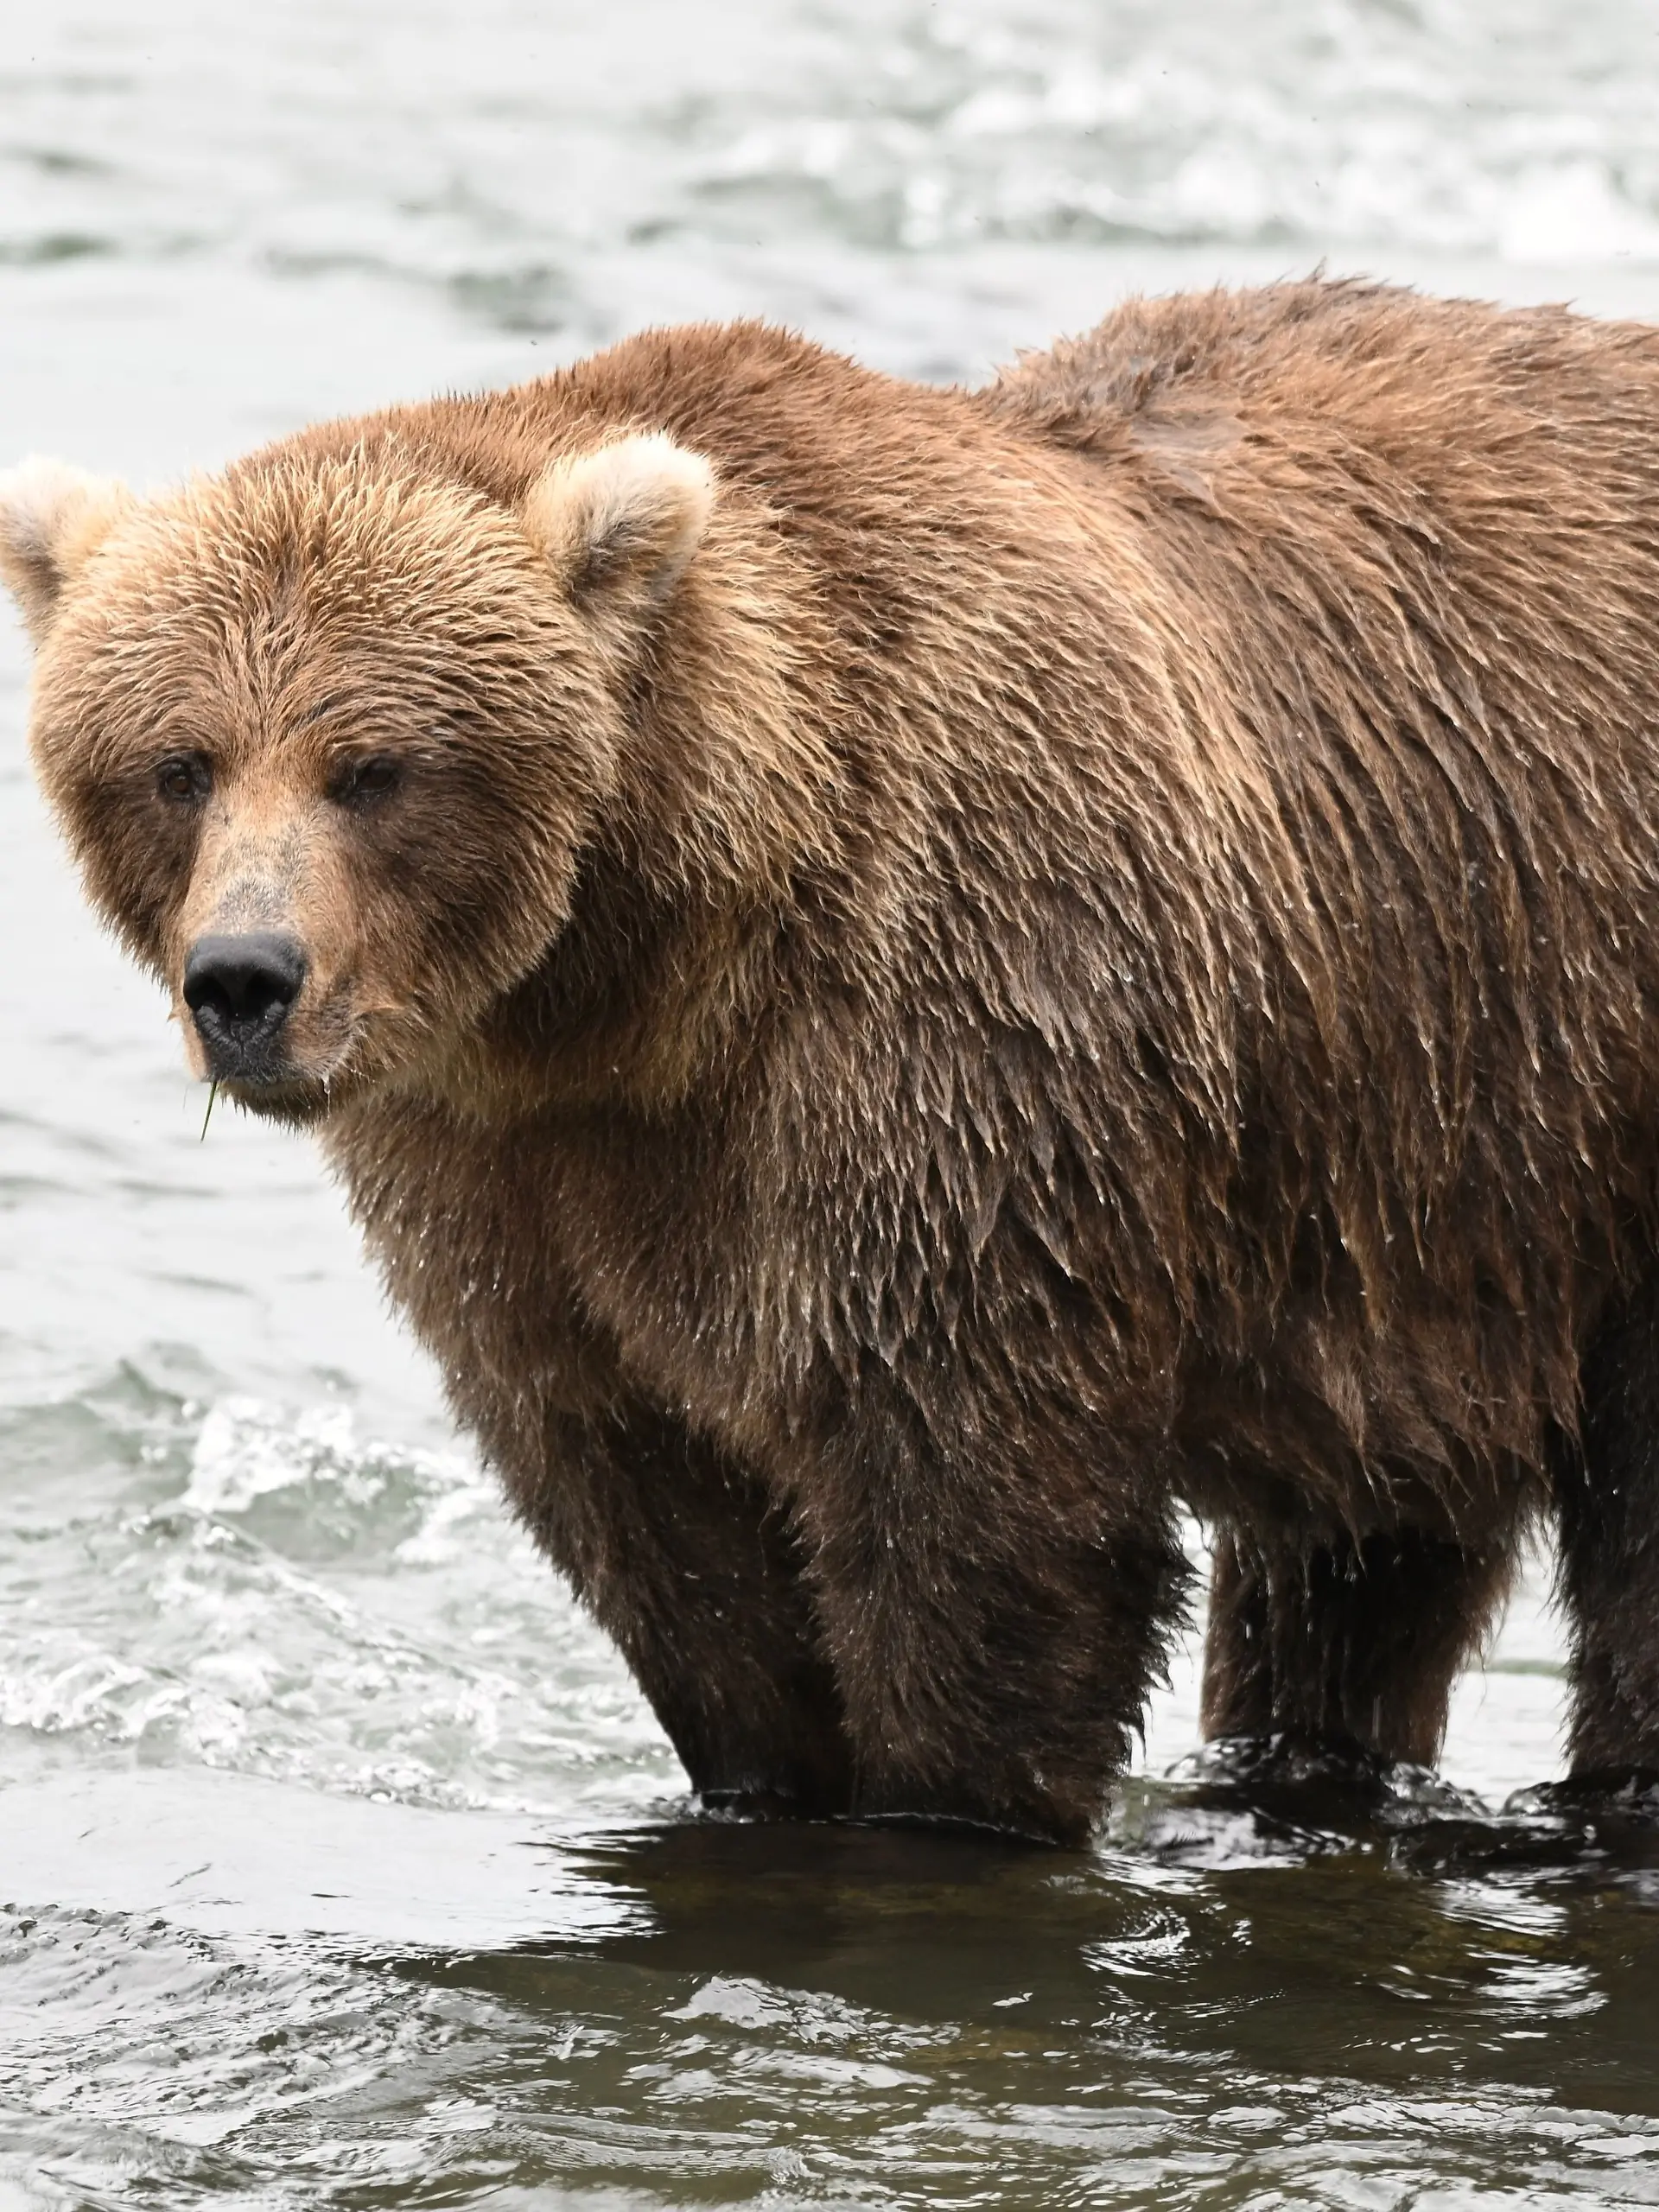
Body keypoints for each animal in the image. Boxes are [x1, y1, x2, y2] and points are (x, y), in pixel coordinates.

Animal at [5, 276, 1659, 1846]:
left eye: (373, 768)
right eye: (180, 762)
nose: (245, 980)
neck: (650, 975)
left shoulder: (961, 1039)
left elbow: (980, 1517)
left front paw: (946, 1803)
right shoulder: (509, 1173)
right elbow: (659, 1522)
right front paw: (758, 1774)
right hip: (1414, 1177)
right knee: (1362, 1545)